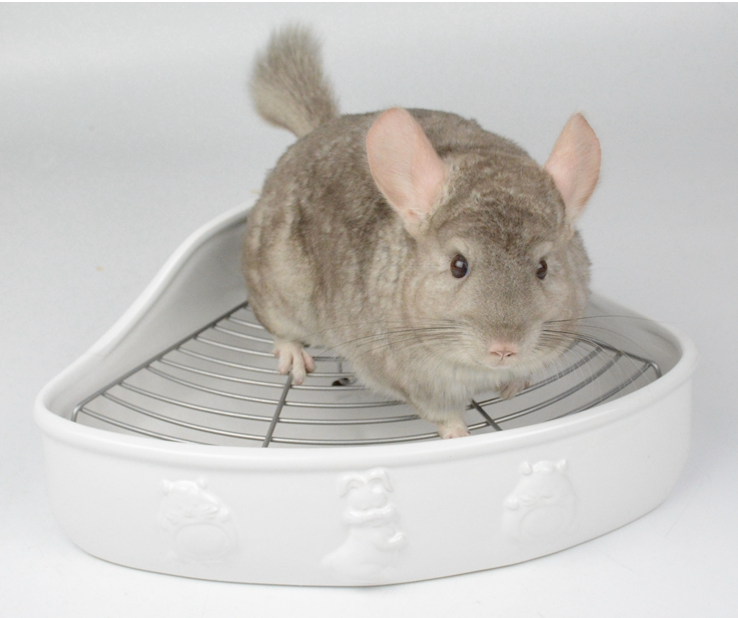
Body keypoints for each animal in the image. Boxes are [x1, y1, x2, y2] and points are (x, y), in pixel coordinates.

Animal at [242, 25, 600, 439]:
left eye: (543, 268)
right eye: (458, 265)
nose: (504, 349)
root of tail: (317, 130)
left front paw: (513, 384)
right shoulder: (408, 377)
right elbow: (442, 414)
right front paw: (461, 436)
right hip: (277, 280)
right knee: (276, 323)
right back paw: (294, 355)